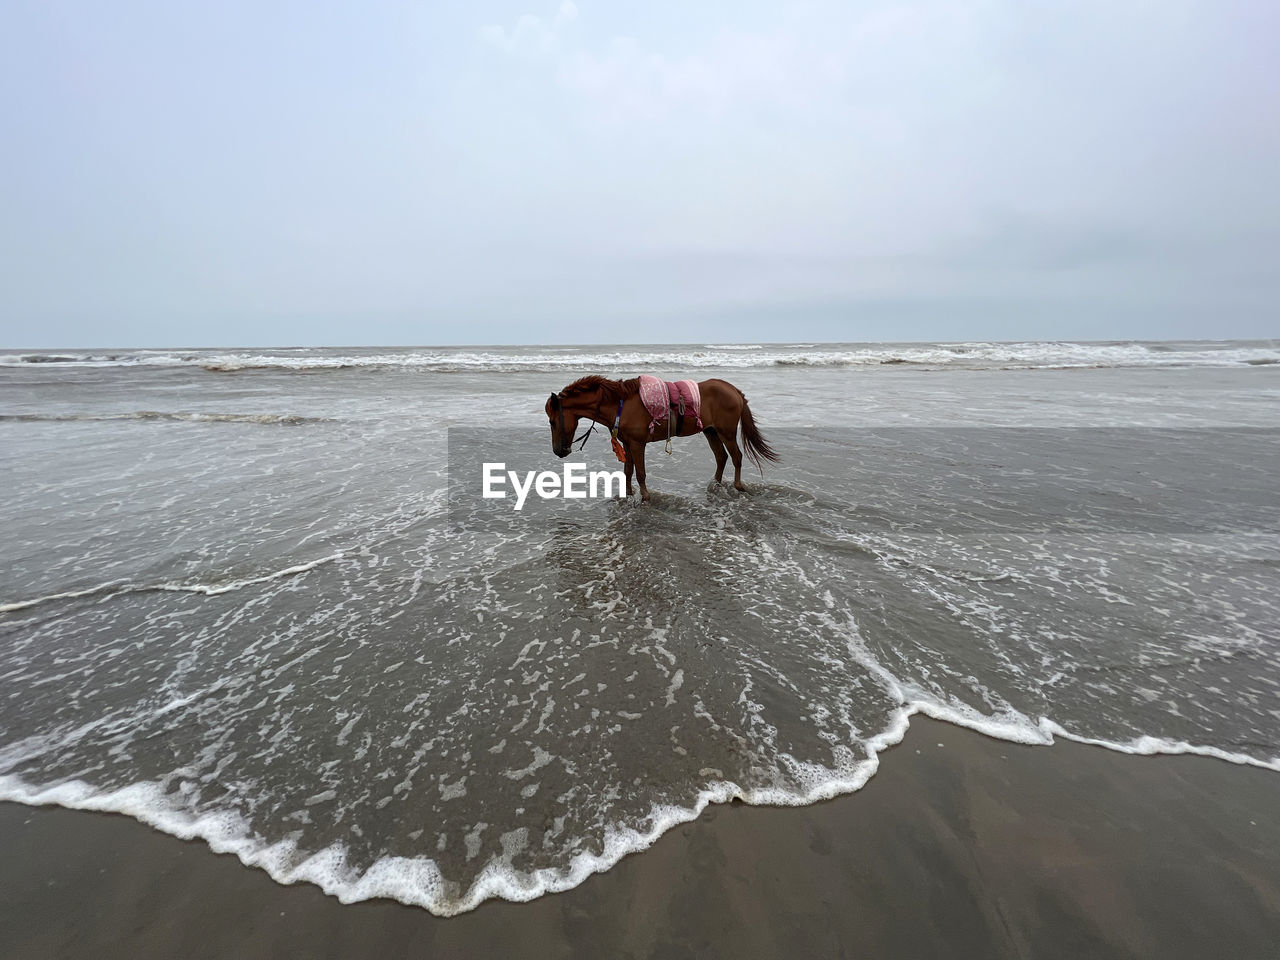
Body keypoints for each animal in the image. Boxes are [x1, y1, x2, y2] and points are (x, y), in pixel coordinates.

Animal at [542, 376, 773, 504]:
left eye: (552, 421)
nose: (558, 451)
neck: (620, 405)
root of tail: (734, 390)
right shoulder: (627, 444)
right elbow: (628, 472)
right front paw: (628, 495)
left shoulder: (637, 444)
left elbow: (640, 473)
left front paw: (645, 498)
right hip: (711, 432)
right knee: (721, 457)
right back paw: (715, 485)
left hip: (726, 433)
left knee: (736, 457)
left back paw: (738, 486)